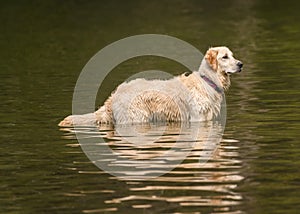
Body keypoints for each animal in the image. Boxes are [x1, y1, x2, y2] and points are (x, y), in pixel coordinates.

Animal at [58, 46, 241, 126]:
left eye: (232, 55)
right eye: (224, 57)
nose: (241, 64)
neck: (208, 80)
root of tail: (115, 94)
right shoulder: (197, 118)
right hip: (137, 118)